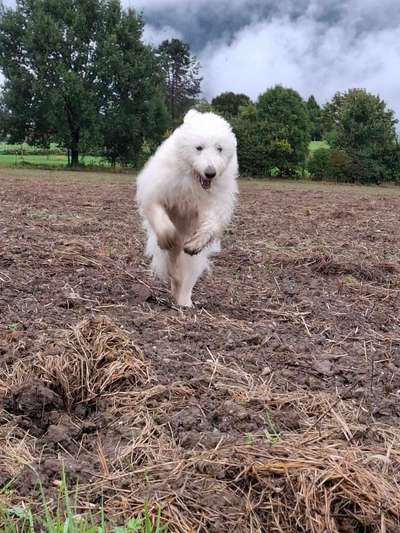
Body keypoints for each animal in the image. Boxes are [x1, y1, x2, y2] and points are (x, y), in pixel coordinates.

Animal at [136, 108, 239, 306]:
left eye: (219, 148)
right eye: (199, 147)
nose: (210, 173)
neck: (192, 180)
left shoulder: (212, 203)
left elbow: (210, 224)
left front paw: (196, 243)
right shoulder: (157, 191)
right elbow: (159, 214)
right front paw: (167, 237)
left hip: (193, 262)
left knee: (186, 276)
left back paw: (184, 301)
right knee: (173, 263)